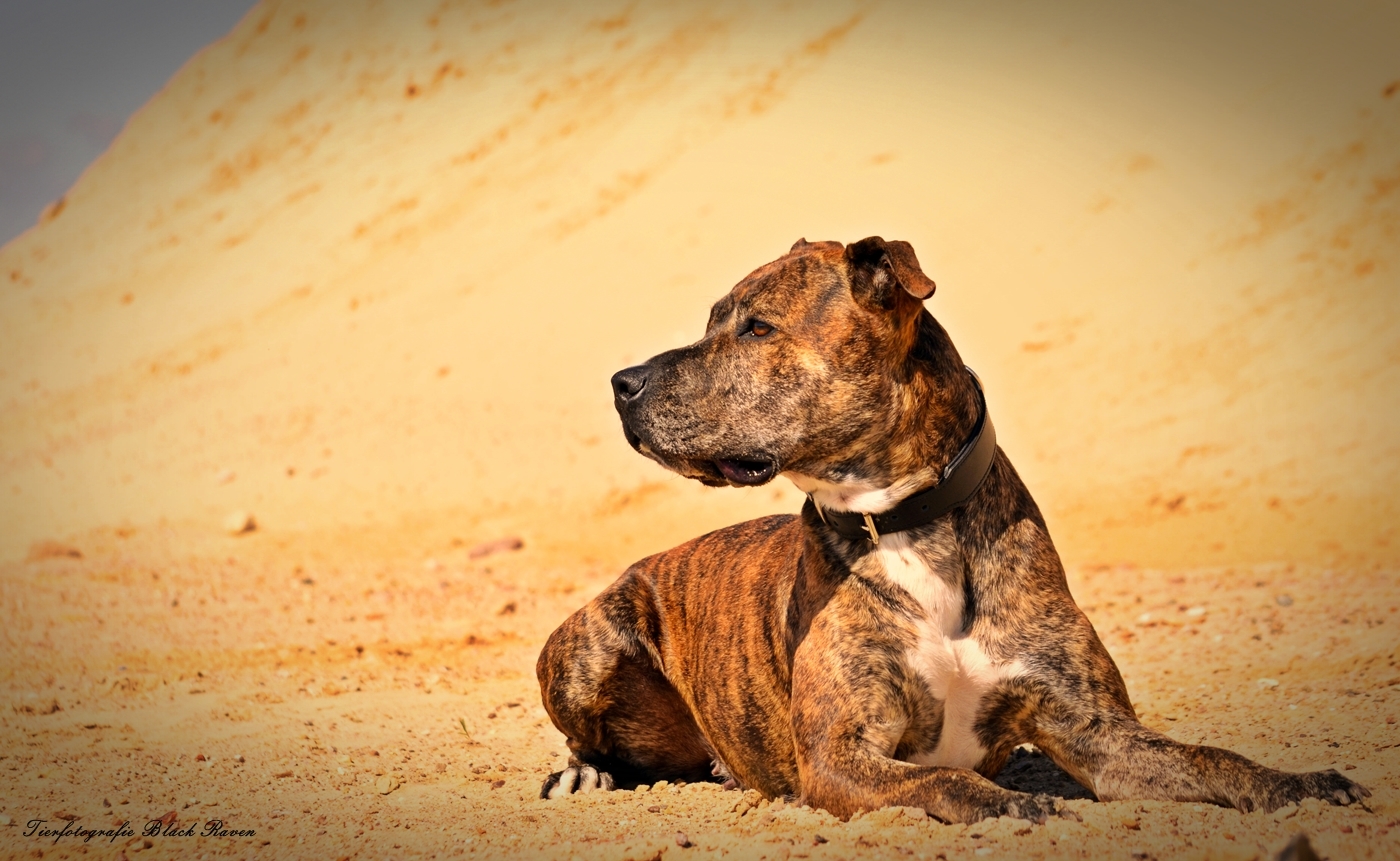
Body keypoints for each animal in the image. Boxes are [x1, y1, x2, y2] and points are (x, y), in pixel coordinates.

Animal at [532, 239, 1366, 823]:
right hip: (587, 648)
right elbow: (942, 773)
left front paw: (1298, 782)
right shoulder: (839, 755)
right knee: (587, 735)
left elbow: (1212, 756)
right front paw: (1006, 801)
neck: (908, 524)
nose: (622, 383)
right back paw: (583, 771)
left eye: (757, 326)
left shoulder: (1101, 735)